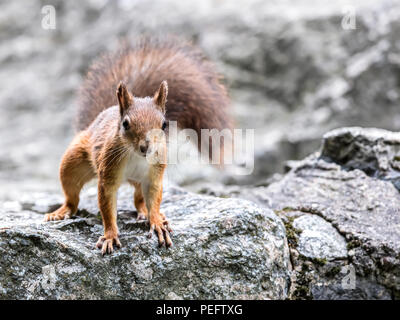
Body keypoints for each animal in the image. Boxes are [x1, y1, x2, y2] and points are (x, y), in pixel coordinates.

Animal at [43, 37, 231, 255]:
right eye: (125, 124)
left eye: (164, 124)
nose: (146, 147)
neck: (135, 156)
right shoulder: (108, 173)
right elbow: (107, 207)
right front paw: (110, 235)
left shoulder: (154, 175)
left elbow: (154, 197)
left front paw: (157, 222)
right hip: (72, 163)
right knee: (71, 195)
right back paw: (61, 211)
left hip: (140, 181)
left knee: (139, 199)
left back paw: (148, 214)